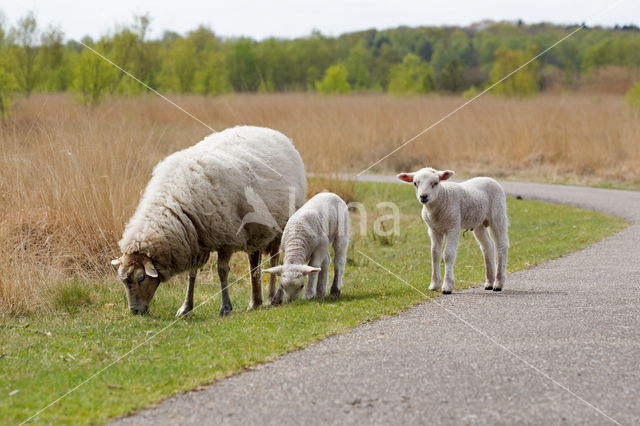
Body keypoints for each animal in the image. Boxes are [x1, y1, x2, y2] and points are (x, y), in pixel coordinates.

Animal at [111, 125, 306, 316]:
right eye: (123, 281)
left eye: (141, 278)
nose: (135, 311)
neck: (176, 201)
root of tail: (273, 132)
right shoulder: (195, 240)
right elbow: (191, 274)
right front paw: (186, 307)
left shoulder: (227, 237)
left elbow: (222, 271)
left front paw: (225, 307)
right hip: (255, 229)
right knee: (254, 263)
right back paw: (254, 302)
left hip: (281, 224)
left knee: (274, 259)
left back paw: (274, 298)